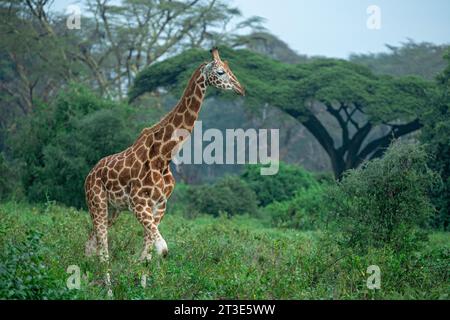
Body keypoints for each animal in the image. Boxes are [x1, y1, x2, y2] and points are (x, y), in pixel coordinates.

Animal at [82, 47, 244, 266]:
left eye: (229, 68)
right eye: (220, 72)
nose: (240, 89)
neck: (163, 156)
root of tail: (90, 174)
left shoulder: (159, 205)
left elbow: (149, 250)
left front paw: (140, 268)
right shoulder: (137, 202)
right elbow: (162, 249)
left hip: (112, 209)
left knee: (91, 241)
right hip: (97, 201)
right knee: (102, 242)